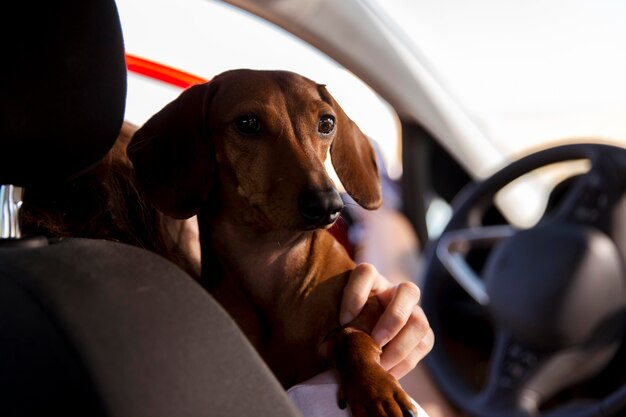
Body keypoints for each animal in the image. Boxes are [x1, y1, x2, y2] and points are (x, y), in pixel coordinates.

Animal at [127, 69, 414, 416]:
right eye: (248, 123)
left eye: (327, 123)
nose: (327, 204)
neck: (271, 259)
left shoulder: (366, 305)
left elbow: (352, 337)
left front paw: (376, 389)